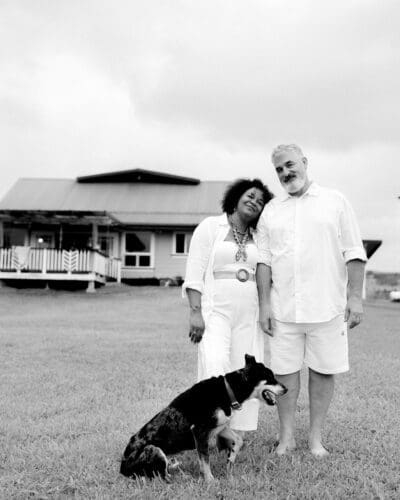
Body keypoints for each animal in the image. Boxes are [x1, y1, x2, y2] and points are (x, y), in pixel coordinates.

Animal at [120, 354, 286, 482]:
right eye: (271, 378)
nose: (286, 389)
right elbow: (205, 460)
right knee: (163, 477)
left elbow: (238, 440)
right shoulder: (200, 431)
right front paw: (210, 481)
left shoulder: (220, 427)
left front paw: (230, 459)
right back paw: (181, 476)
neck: (228, 391)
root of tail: (122, 468)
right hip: (153, 449)